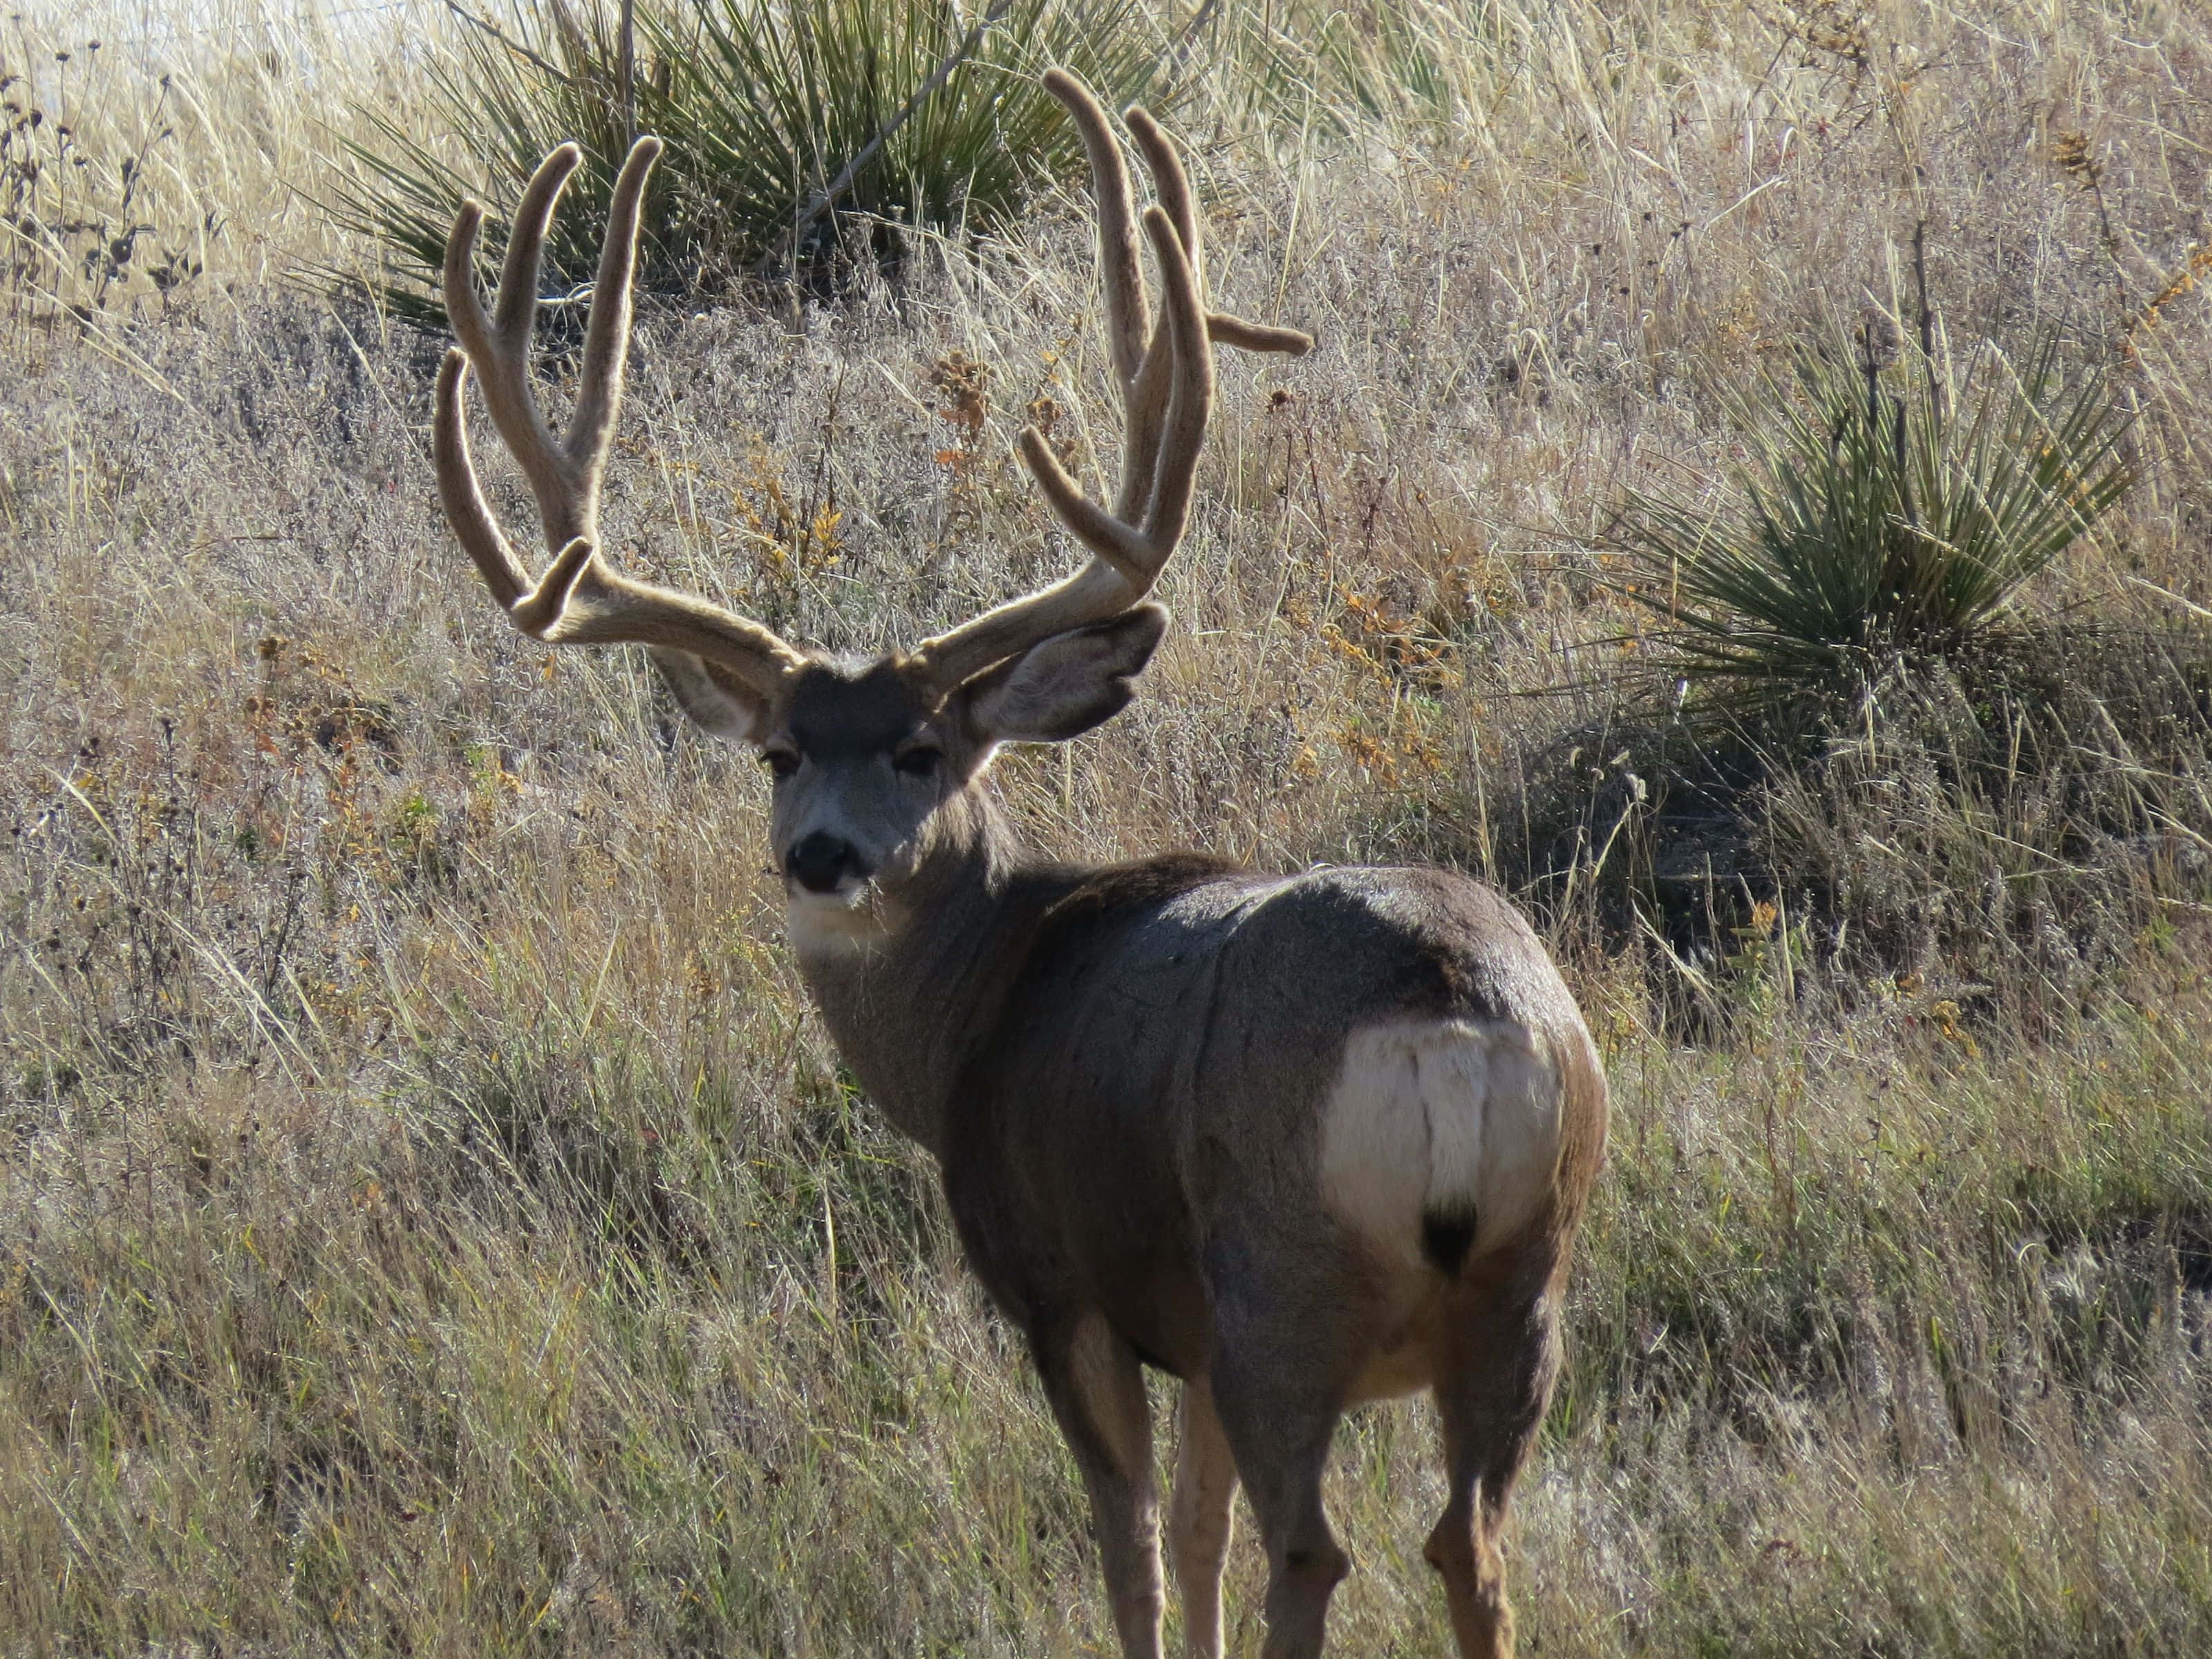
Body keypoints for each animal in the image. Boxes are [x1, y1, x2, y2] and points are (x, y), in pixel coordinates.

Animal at [430, 70, 1608, 1659]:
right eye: (780, 752)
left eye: (923, 750)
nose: (821, 856)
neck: (980, 1008)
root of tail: (1451, 1014)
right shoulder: (1178, 1321)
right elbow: (1196, 1534)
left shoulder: (1065, 1285)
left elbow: (1137, 1549)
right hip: (1527, 1275)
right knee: (1467, 1543)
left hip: (1277, 1278)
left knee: (1318, 1548)